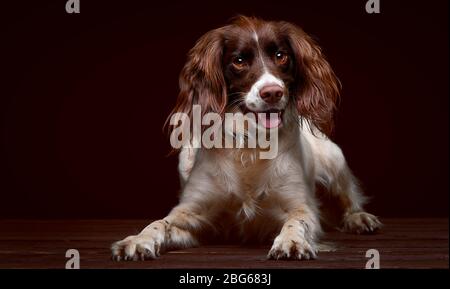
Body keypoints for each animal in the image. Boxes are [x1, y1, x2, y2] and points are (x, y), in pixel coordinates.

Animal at [110, 15, 382, 260]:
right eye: (239, 60)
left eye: (281, 56)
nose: (272, 92)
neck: (251, 146)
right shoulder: (194, 213)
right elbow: (159, 223)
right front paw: (138, 240)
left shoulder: (300, 206)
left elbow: (297, 222)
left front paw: (291, 242)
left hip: (334, 159)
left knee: (349, 197)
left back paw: (360, 218)